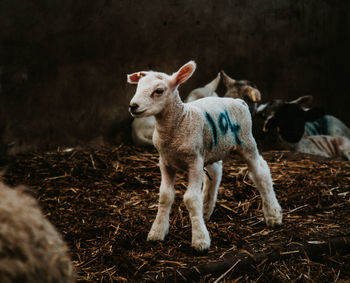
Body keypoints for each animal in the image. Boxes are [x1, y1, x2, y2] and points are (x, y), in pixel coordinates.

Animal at [127, 61, 284, 251]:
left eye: (159, 91)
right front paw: (157, 232)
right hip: (211, 149)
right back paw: (206, 210)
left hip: (246, 142)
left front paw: (200, 240)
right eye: (138, 86)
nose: (133, 106)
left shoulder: (194, 161)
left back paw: (273, 216)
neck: (181, 121)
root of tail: (237, 100)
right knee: (217, 173)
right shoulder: (165, 162)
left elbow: (191, 199)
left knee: (260, 173)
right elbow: (165, 196)